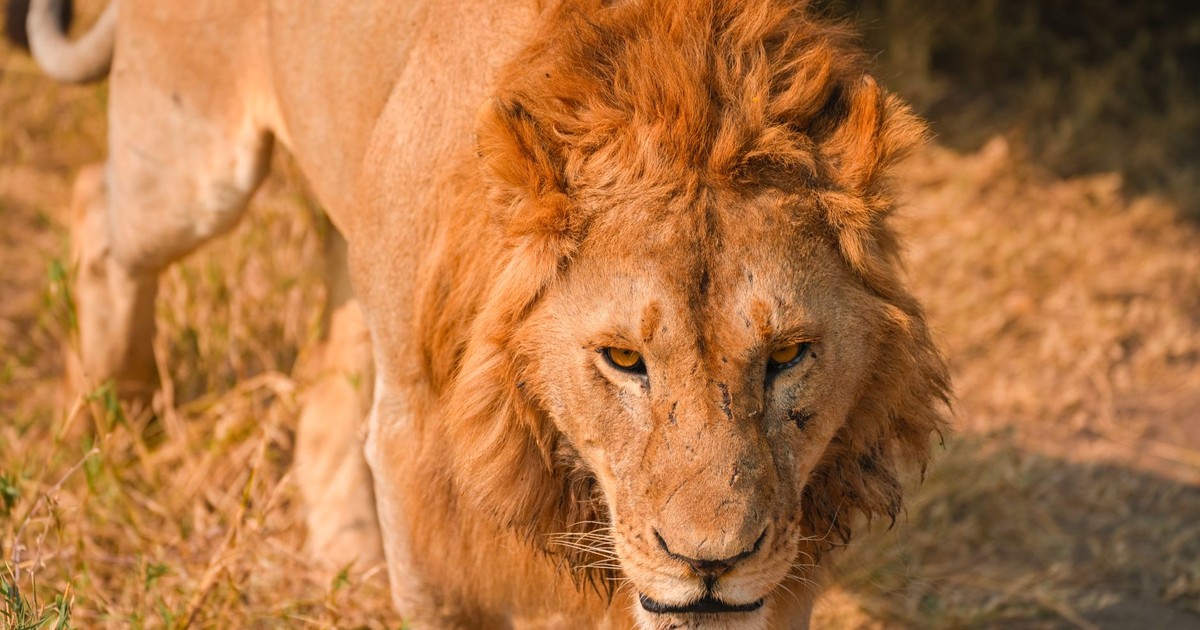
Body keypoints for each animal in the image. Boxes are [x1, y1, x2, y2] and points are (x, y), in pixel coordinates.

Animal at [16, 0, 950, 627]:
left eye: (788, 354)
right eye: (623, 360)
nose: (709, 562)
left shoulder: (794, 539)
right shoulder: (415, 464)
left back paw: (344, 553)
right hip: (189, 161)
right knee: (96, 211)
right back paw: (107, 427)